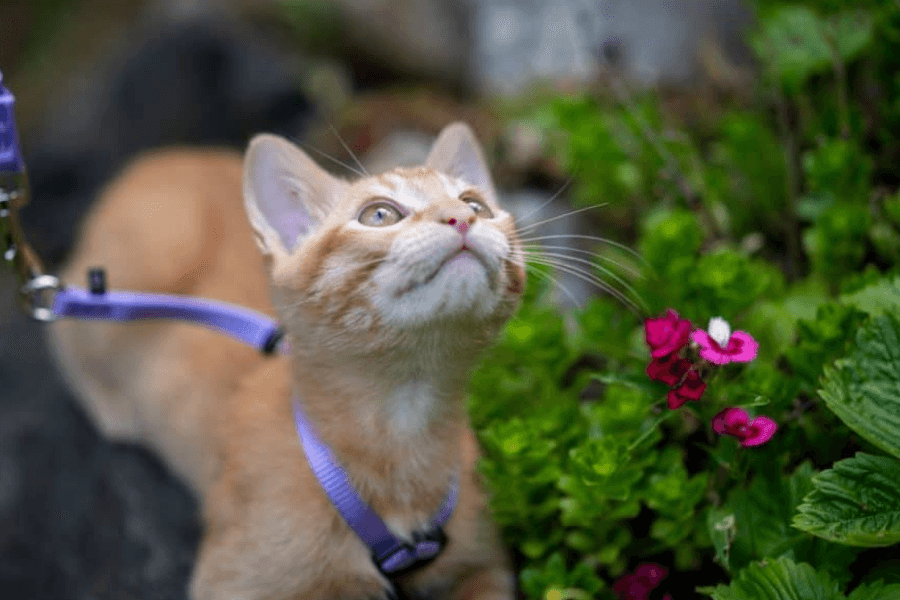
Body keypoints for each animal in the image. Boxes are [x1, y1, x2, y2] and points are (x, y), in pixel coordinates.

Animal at [47, 123, 528, 600]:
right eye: (379, 215)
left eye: (477, 204)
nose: (461, 218)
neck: (403, 429)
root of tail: (157, 157)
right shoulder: (231, 583)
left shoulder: (486, 567)